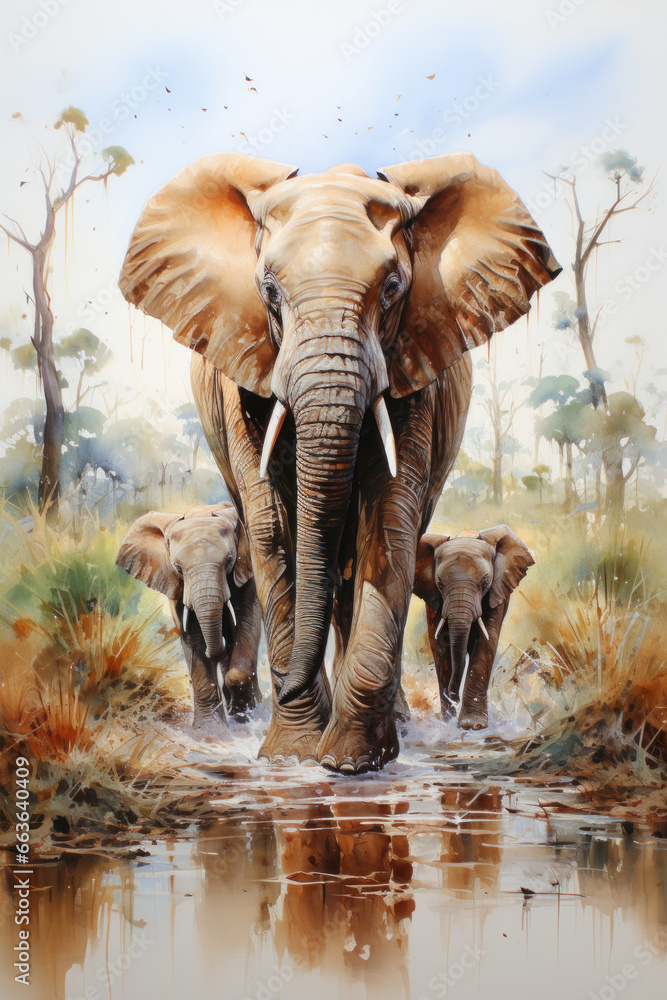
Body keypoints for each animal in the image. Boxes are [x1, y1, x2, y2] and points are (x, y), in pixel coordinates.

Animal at [116, 502, 262, 724]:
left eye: (229, 560)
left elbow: (247, 622)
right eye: (177, 567)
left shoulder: (246, 570)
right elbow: (192, 637)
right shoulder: (177, 587)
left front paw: (245, 716)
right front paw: (209, 728)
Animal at [413, 525, 534, 730]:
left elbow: (487, 640)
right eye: (440, 584)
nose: (453, 697)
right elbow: (440, 644)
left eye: (485, 582)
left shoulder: (497, 592)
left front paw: (472, 724)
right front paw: (449, 721)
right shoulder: (433, 599)